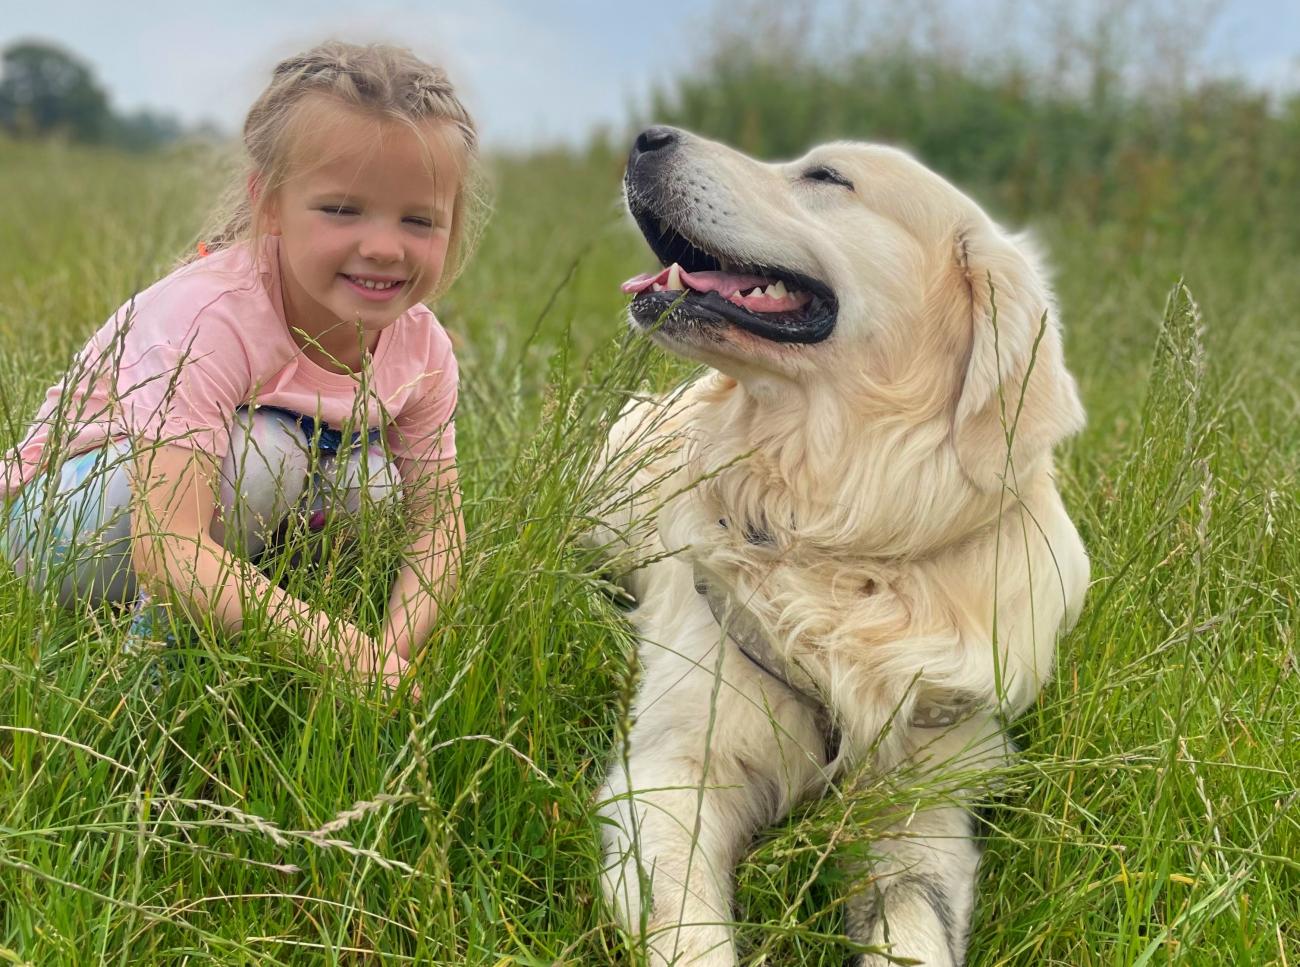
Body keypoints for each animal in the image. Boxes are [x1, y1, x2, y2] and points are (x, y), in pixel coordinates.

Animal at [590, 128, 1086, 966]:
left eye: (826, 176)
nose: (648, 137)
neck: (837, 533)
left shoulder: (924, 808)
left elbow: (915, 926)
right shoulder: (673, 766)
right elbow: (688, 920)